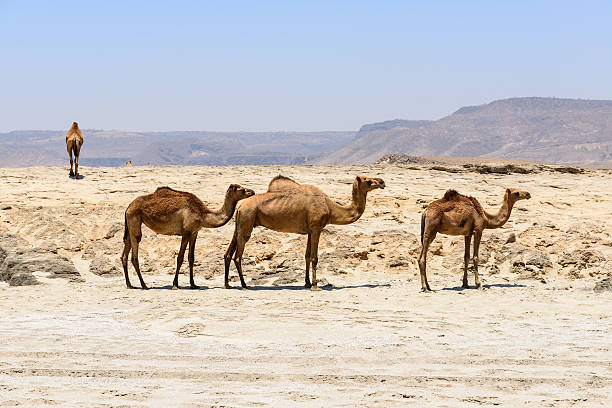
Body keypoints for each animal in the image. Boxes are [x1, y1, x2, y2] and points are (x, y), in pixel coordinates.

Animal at [120, 185, 255, 290]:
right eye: (242, 189)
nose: (252, 192)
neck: (203, 214)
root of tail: (128, 207)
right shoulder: (186, 232)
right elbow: (180, 258)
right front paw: (175, 285)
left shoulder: (194, 232)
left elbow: (191, 257)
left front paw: (193, 284)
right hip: (135, 219)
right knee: (135, 253)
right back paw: (144, 285)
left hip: (132, 223)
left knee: (125, 253)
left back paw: (129, 284)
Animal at [225, 175, 384, 290]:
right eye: (367, 180)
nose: (382, 182)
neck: (331, 207)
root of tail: (240, 207)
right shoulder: (317, 228)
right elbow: (314, 257)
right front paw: (315, 286)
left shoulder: (310, 231)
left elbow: (307, 256)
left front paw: (307, 283)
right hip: (247, 220)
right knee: (238, 257)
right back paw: (244, 285)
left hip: (240, 223)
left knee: (228, 254)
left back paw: (228, 284)